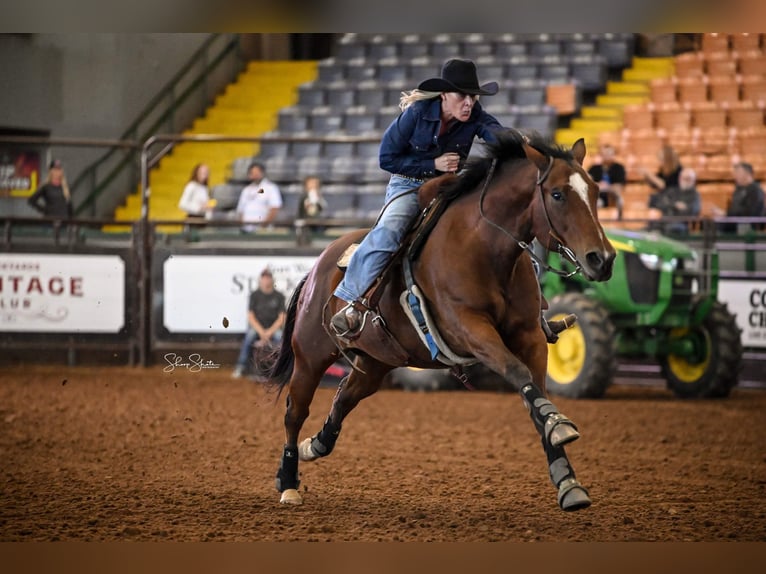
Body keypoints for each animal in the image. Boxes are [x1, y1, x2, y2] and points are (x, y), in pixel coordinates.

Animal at [260, 133, 616, 516]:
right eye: (557, 194)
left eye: (595, 190)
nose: (603, 259)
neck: (483, 247)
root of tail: (316, 267)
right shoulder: (469, 329)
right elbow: (517, 372)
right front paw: (559, 424)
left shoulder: (530, 335)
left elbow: (535, 393)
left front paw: (567, 479)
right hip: (310, 356)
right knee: (295, 412)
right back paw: (288, 482)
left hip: (376, 362)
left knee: (343, 398)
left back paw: (315, 445)